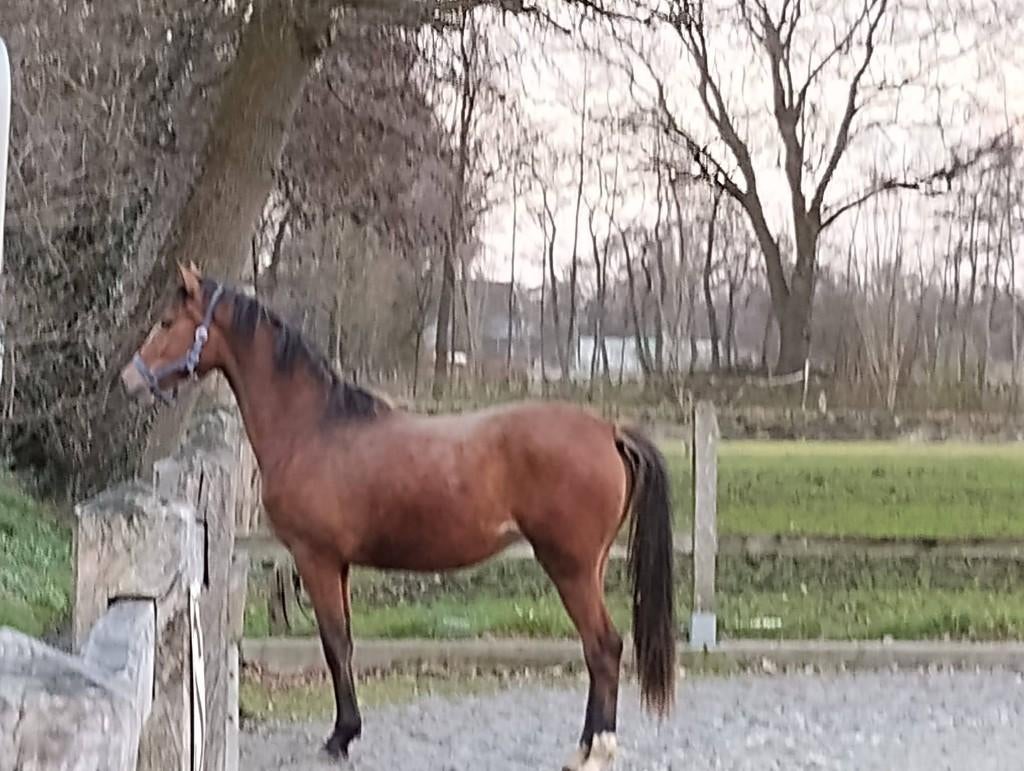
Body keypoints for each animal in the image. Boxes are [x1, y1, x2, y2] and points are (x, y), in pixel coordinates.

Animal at [120, 263, 676, 771]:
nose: (129, 379)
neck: (312, 427)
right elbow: (344, 642)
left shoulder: (316, 559)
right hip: (589, 567)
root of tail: (609, 431)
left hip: (571, 569)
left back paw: (595, 751)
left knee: (603, 647)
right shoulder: (338, 565)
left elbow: (334, 643)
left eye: (167, 321)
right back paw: (586, 745)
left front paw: (341, 737)